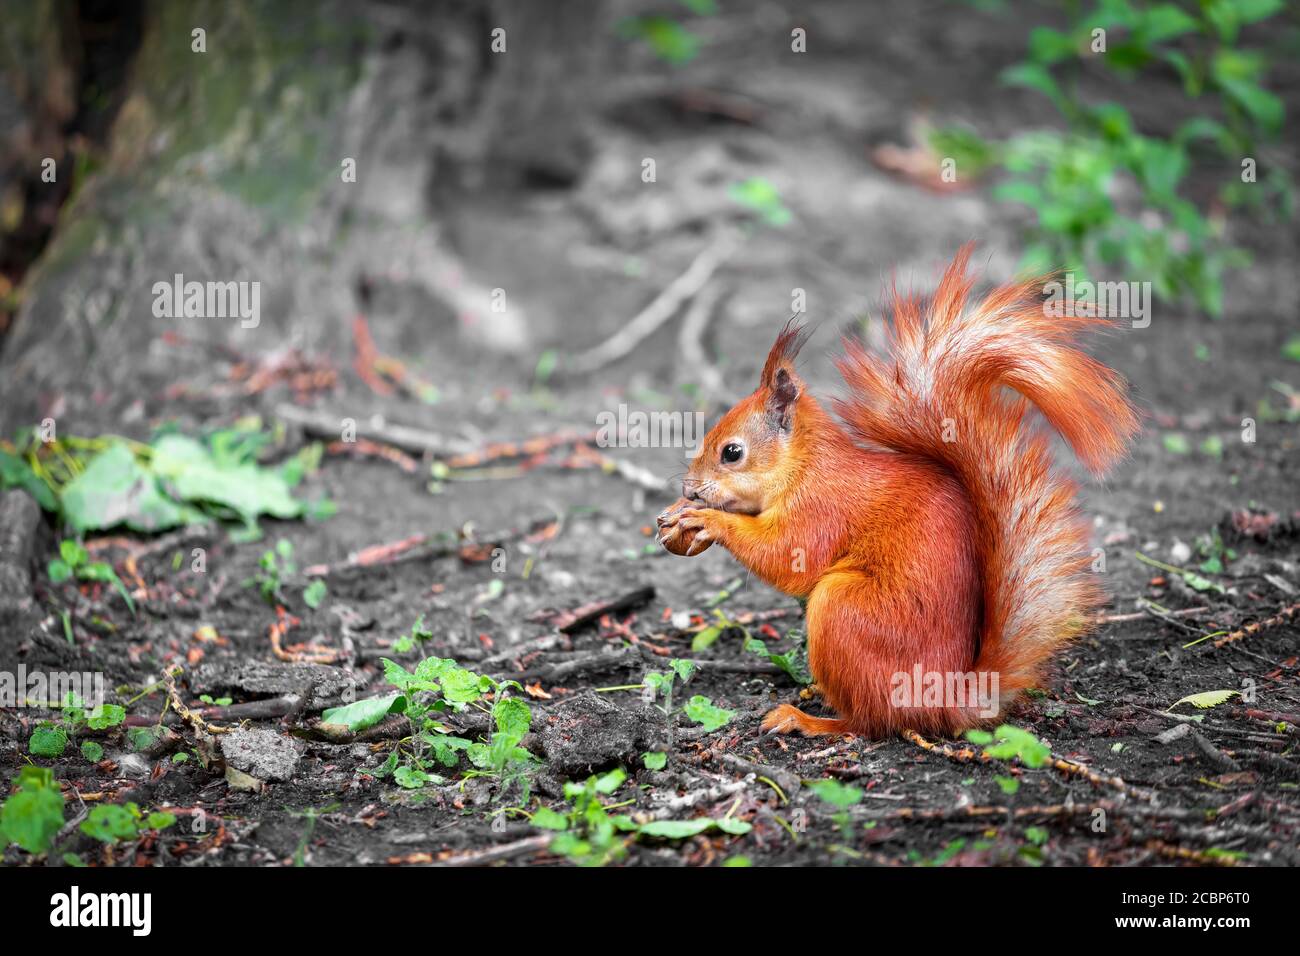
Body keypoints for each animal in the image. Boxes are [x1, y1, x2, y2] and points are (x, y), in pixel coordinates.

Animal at [660, 247, 1138, 738]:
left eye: (732, 452)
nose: (688, 488)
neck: (805, 467)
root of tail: (944, 700)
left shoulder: (822, 507)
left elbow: (787, 555)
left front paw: (708, 521)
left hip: (842, 612)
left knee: (871, 721)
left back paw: (809, 720)